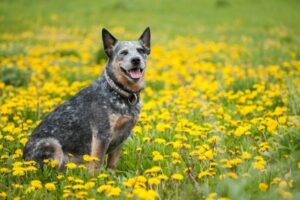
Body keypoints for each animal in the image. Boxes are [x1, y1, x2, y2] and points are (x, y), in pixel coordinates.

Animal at [22, 27, 151, 172]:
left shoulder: (123, 135)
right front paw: (97, 177)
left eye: (141, 50)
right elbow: (97, 163)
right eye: (123, 52)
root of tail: (23, 159)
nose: (136, 60)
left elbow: (112, 163)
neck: (119, 91)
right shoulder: (102, 134)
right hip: (52, 145)